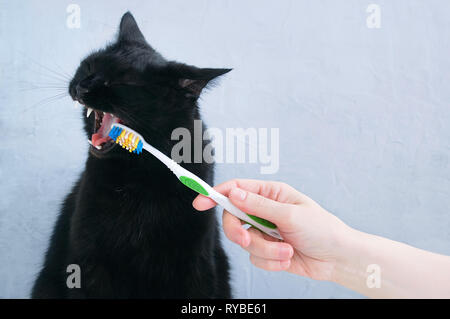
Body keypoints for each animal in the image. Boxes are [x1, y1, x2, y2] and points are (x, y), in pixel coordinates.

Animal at [32, 11, 232, 298]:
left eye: (122, 83)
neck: (141, 177)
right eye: (89, 67)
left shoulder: (195, 262)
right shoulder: (88, 259)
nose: (81, 87)